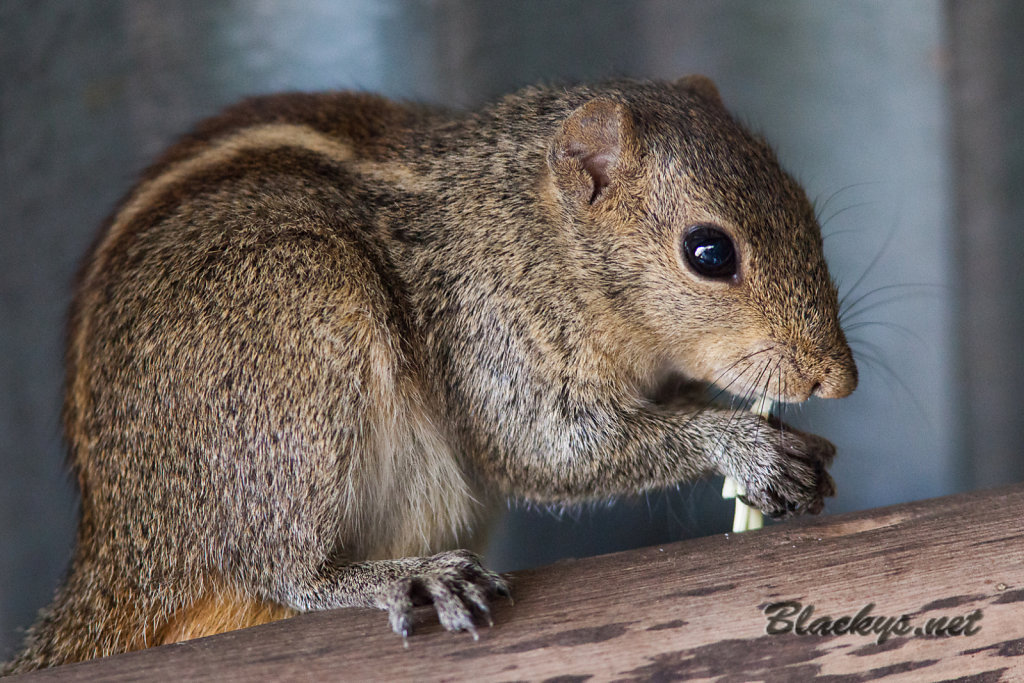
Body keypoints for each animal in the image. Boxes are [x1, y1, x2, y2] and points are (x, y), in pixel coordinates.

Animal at [4, 76, 856, 671]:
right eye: (709, 252)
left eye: (805, 206)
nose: (837, 378)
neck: (529, 227)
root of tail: (122, 552)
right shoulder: (493, 332)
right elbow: (549, 452)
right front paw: (740, 442)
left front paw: (789, 446)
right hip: (295, 344)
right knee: (284, 568)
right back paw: (402, 578)